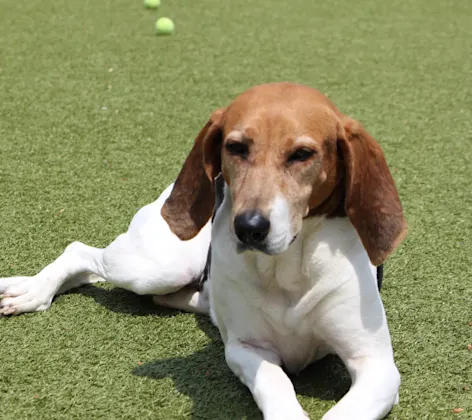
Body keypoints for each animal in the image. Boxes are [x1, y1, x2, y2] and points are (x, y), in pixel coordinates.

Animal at [0, 83, 406, 420]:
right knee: (80, 252)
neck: (287, 267)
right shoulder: (247, 348)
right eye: (236, 147)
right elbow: (275, 382)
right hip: (157, 266)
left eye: (303, 154)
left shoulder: (378, 367)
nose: (249, 227)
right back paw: (33, 291)